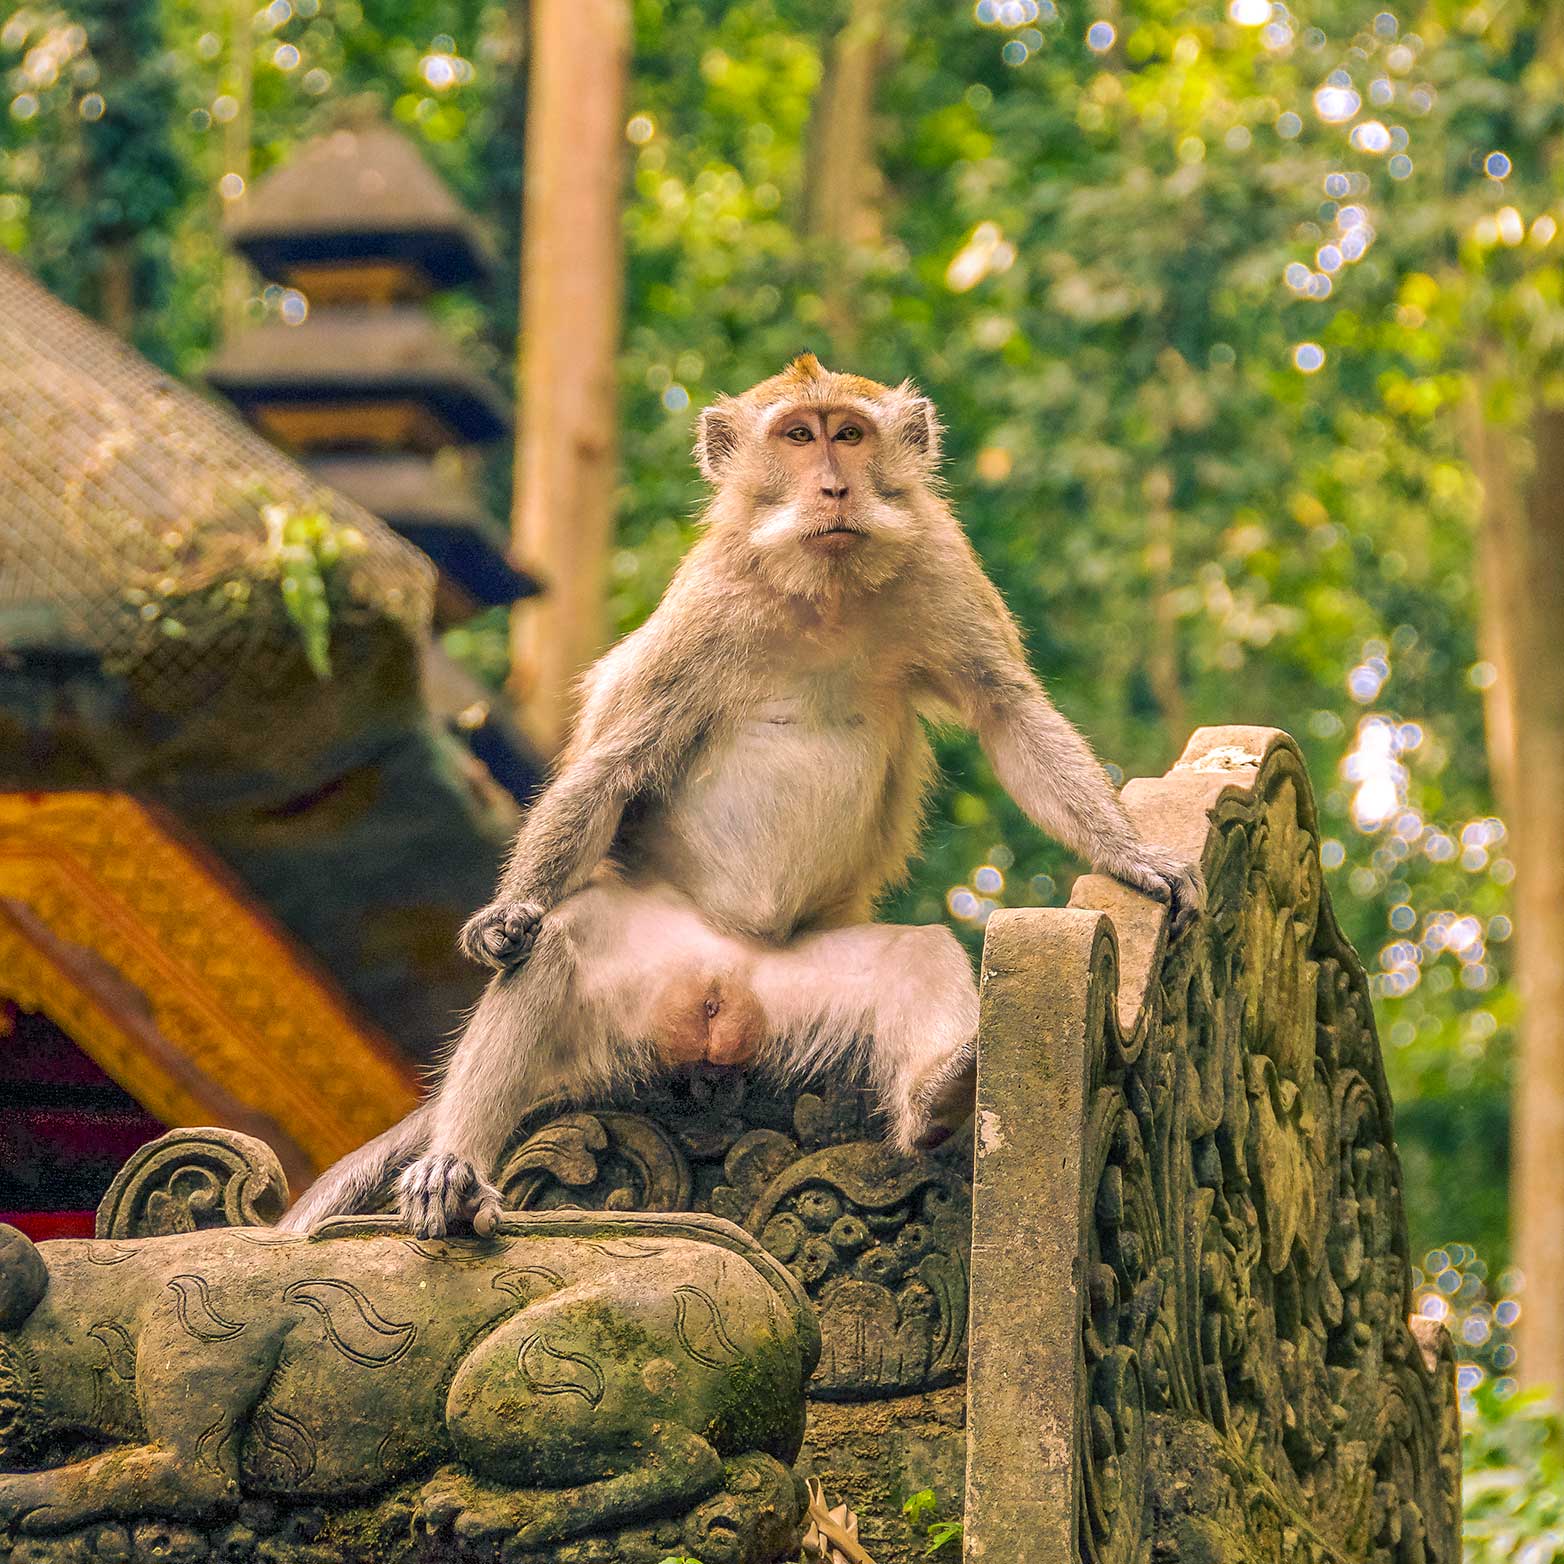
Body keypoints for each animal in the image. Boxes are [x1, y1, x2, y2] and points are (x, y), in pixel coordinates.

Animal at [280, 355, 1203, 1240]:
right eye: (798, 436)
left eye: (850, 435)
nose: (832, 487)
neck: (826, 587)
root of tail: (720, 986)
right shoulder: (707, 598)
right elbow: (617, 760)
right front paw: (507, 912)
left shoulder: (941, 562)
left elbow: (1005, 710)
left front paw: (1134, 856)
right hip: (634, 970)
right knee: (553, 948)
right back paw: (456, 1164)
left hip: (799, 991)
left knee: (915, 956)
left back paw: (943, 1090)